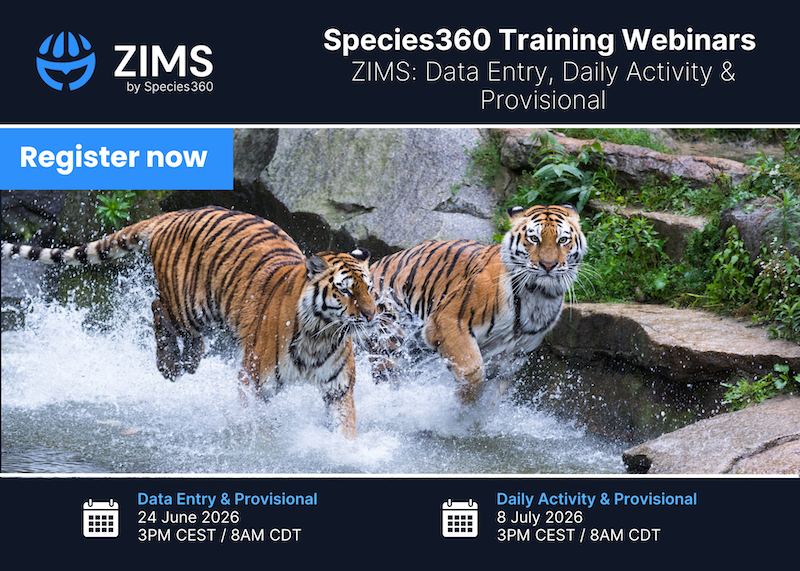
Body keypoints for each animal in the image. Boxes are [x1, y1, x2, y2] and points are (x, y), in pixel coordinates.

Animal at [1, 205, 377, 439]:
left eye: (370, 289)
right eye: (345, 291)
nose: (372, 315)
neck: (321, 333)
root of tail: (176, 213)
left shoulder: (339, 388)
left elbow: (345, 427)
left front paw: (344, 453)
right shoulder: (253, 381)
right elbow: (252, 419)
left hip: (203, 313)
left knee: (190, 335)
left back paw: (190, 362)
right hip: (187, 306)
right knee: (157, 307)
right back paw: (170, 366)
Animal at [369, 203, 587, 406]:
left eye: (563, 240)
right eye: (534, 239)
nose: (548, 265)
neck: (539, 295)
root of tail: (376, 264)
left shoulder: (511, 359)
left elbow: (490, 403)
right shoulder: (448, 320)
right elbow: (473, 372)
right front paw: (456, 408)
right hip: (389, 339)